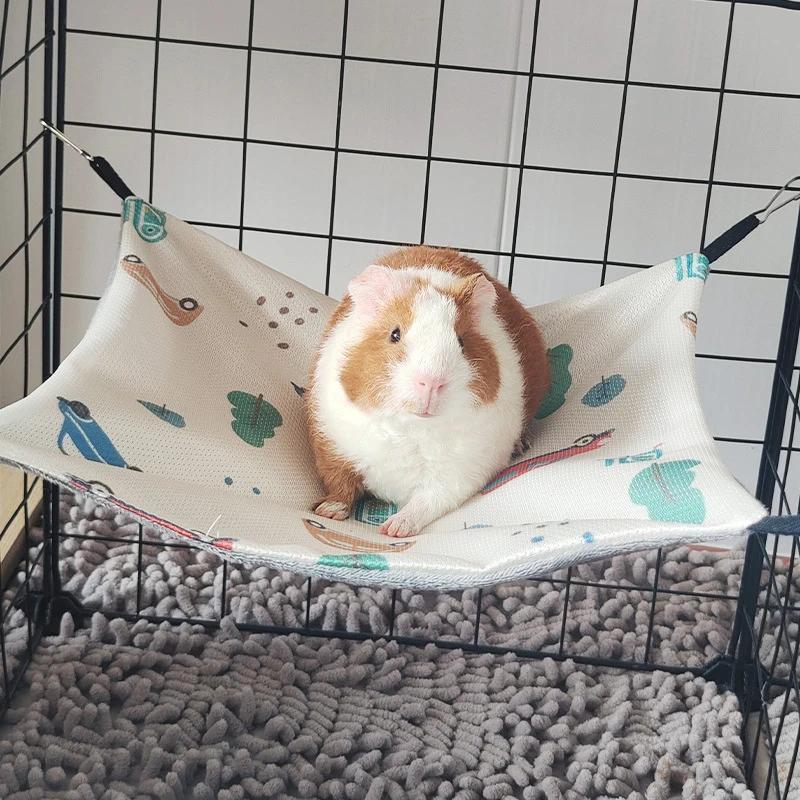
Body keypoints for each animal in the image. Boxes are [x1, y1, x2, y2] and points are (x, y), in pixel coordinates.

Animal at [306, 245, 550, 538]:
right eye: (395, 334)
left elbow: (425, 503)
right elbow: (340, 486)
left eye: (461, 341)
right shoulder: (332, 447)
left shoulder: (457, 476)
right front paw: (326, 512)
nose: (431, 383)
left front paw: (393, 529)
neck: (412, 428)